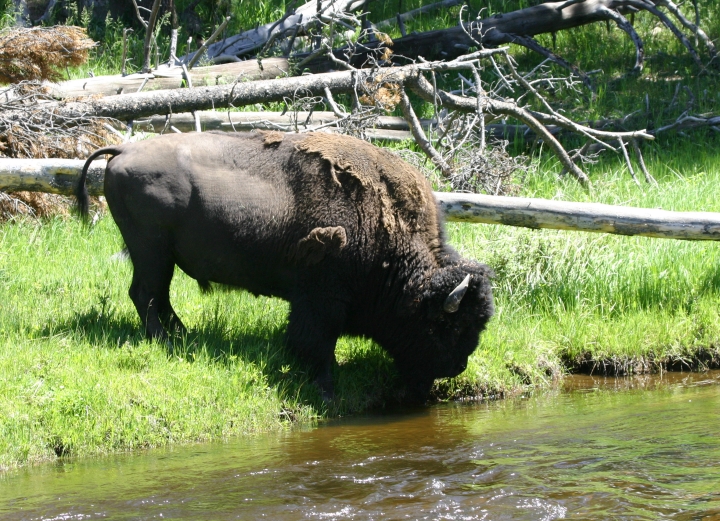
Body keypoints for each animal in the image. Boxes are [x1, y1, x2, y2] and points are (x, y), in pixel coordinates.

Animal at [79, 130, 496, 398]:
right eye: (447, 325)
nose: (456, 367)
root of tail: (122, 151)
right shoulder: (320, 299)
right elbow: (317, 341)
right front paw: (325, 387)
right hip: (152, 252)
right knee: (146, 295)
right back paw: (166, 341)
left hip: (159, 257)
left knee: (158, 297)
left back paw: (183, 337)